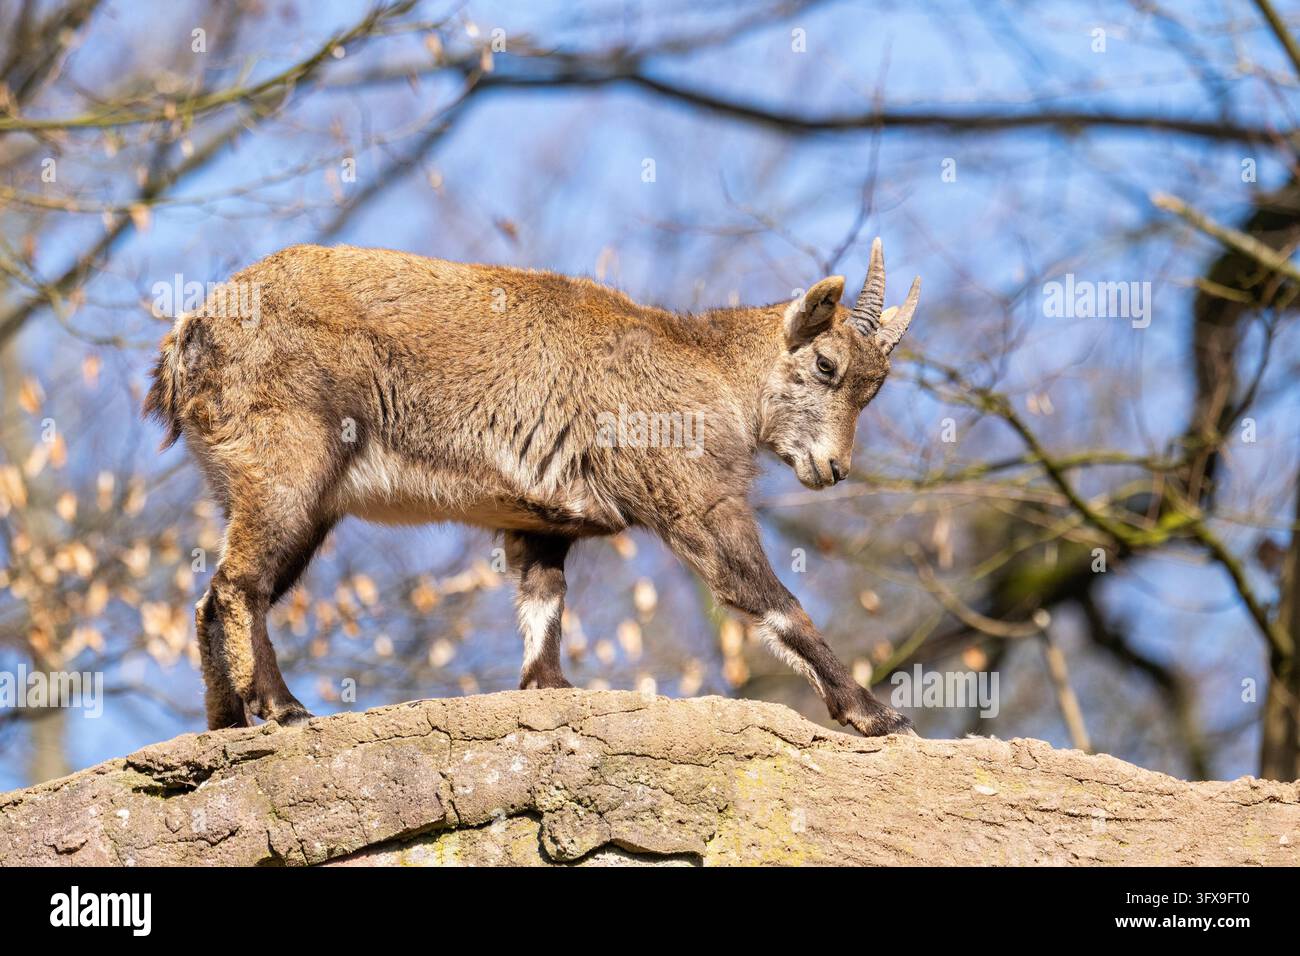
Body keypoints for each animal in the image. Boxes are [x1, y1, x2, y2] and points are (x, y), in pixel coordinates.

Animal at [144, 239, 921, 735]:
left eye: (874, 387)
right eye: (826, 365)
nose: (833, 468)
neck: (712, 371)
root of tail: (191, 334)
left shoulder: (540, 521)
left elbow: (545, 601)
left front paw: (548, 689)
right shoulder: (691, 497)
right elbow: (774, 601)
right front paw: (874, 714)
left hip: (281, 494)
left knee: (214, 596)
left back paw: (224, 726)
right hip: (287, 464)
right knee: (238, 586)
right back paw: (284, 708)